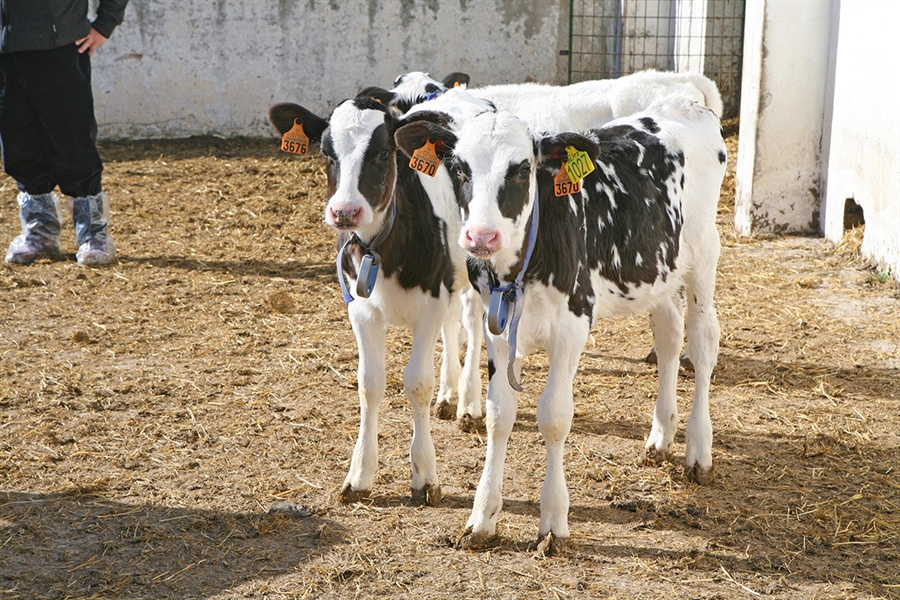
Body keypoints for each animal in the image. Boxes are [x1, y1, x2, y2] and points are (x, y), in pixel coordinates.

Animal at [268, 96, 482, 504]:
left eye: (384, 152)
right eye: (326, 153)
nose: (345, 211)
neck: (381, 249)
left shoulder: (430, 303)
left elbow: (417, 382)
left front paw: (425, 476)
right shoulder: (361, 309)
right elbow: (369, 384)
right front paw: (359, 475)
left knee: (475, 327)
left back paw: (468, 402)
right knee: (452, 327)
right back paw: (449, 395)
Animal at [398, 95, 728, 552]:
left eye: (523, 169)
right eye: (460, 169)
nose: (481, 237)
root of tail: (685, 104)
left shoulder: (573, 325)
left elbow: (554, 416)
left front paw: (553, 521)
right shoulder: (496, 328)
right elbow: (499, 415)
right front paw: (482, 516)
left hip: (704, 258)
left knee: (701, 343)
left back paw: (698, 451)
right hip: (658, 271)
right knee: (668, 338)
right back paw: (661, 436)